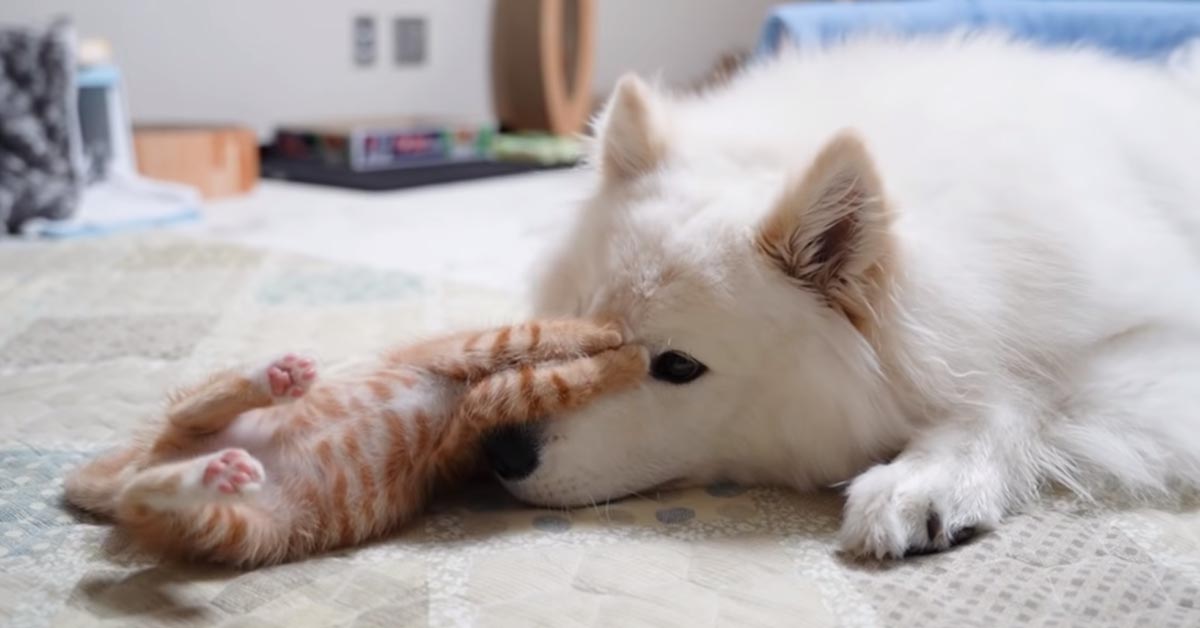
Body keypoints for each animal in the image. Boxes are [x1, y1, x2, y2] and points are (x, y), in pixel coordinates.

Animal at [65, 321, 648, 566]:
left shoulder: (482, 404)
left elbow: (542, 380)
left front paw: (620, 353)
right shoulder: (474, 350)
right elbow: (550, 348)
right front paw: (622, 348)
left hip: (243, 531)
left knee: (145, 493)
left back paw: (217, 472)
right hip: (200, 445)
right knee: (187, 416)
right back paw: (272, 380)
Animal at [477, 33, 1200, 559]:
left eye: (678, 366)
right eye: (576, 319)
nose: (499, 450)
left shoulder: (1153, 342)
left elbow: (1028, 387)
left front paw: (929, 477)